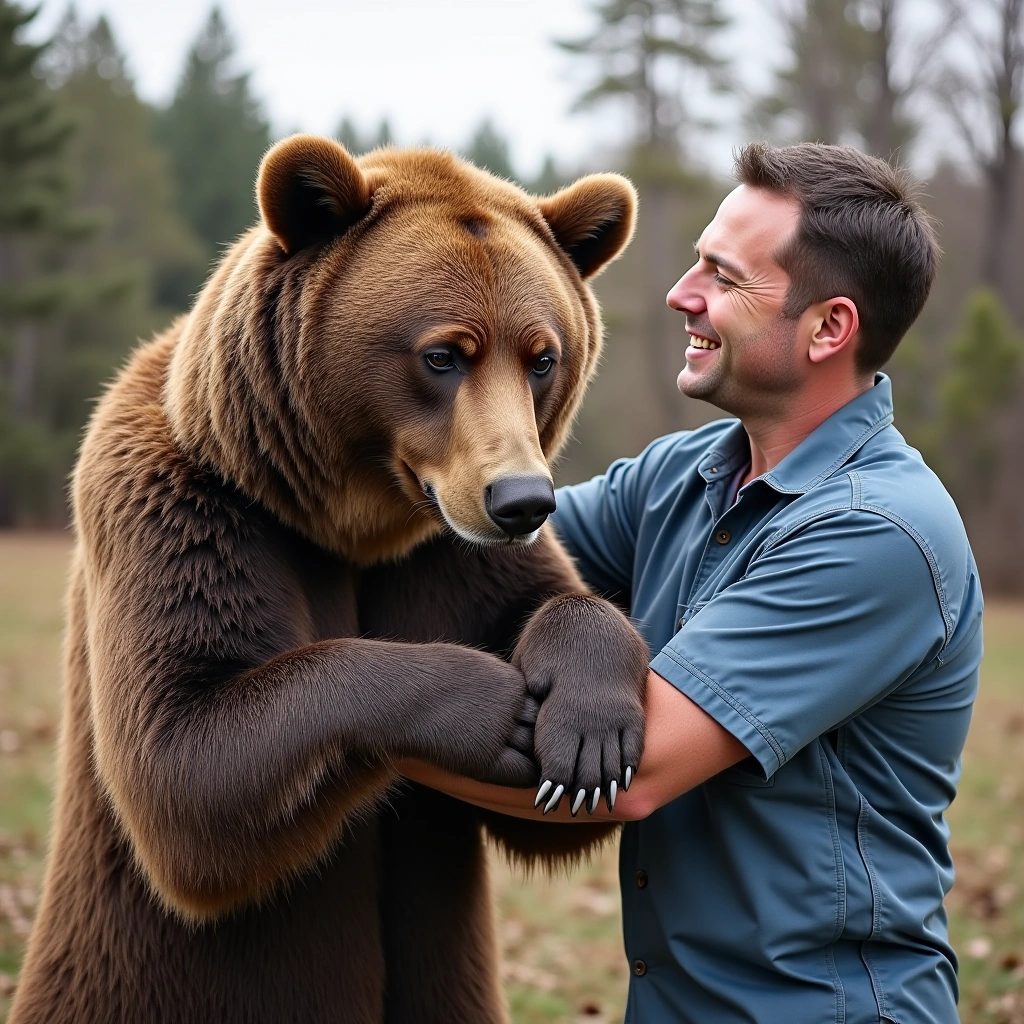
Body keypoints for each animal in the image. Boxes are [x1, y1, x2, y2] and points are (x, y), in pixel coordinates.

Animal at [10, 135, 648, 1024]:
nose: (521, 499)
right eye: (443, 354)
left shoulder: (447, 554)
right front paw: (500, 710)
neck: (348, 520)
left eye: (542, 357)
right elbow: (183, 755)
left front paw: (587, 735)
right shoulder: (188, 508)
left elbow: (558, 636)